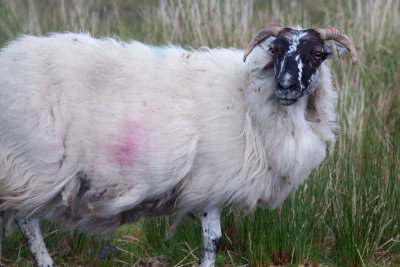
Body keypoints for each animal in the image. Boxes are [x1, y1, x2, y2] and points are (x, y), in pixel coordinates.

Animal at [0, 24, 356, 266]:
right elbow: (212, 240)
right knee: (28, 222)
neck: (248, 98)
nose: (285, 85)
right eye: (276, 50)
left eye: (318, 54)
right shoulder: (211, 180)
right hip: (32, 163)